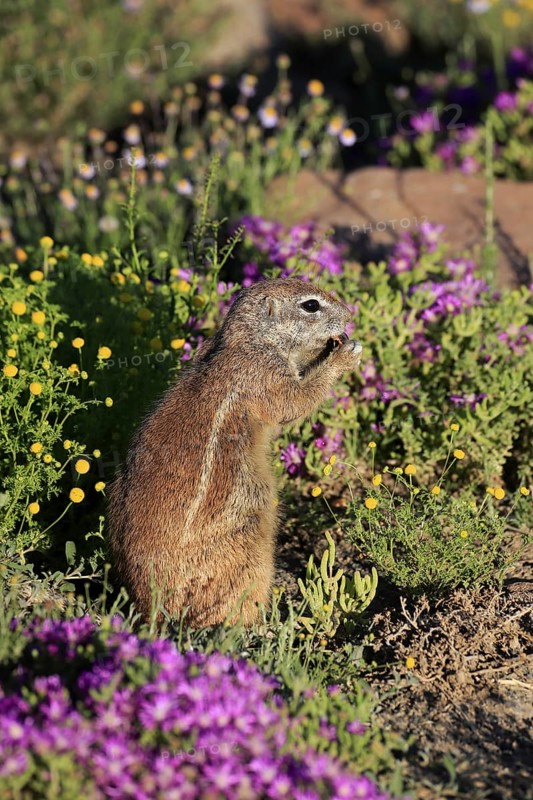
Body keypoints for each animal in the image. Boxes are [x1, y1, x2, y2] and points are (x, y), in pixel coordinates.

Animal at [108, 277, 362, 627]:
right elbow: (294, 403)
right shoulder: (264, 375)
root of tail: (150, 604)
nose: (349, 315)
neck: (248, 339)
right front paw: (344, 355)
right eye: (311, 305)